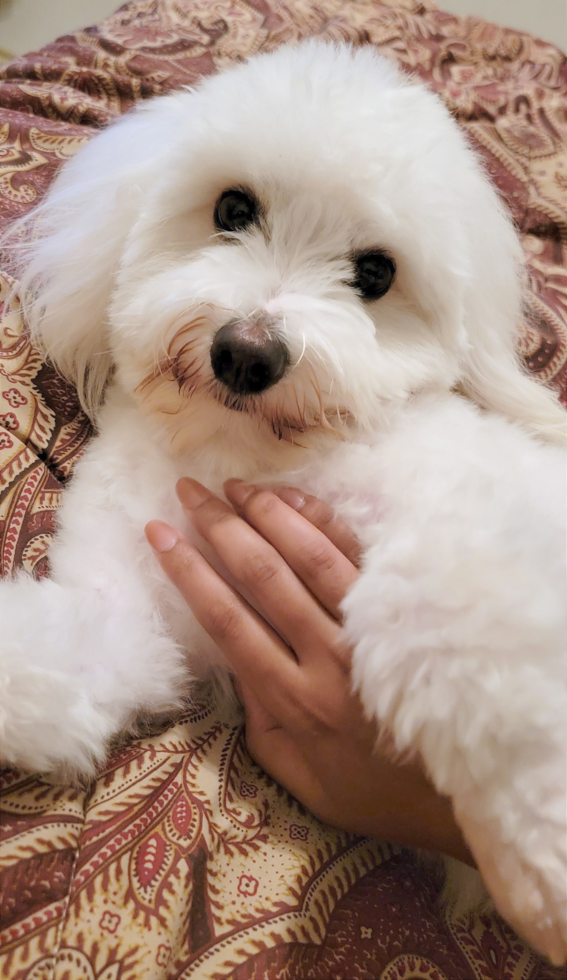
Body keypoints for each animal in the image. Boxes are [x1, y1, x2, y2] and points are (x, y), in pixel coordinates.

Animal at [1, 40, 567, 964]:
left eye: (375, 273)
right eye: (233, 207)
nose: (246, 352)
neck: (248, 461)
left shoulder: (478, 529)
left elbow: (450, 615)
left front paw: (540, 831)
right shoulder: (136, 614)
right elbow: (72, 655)